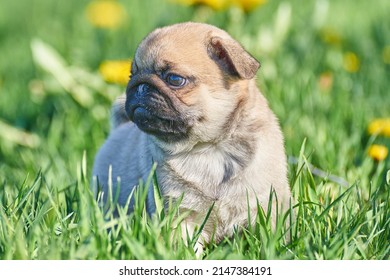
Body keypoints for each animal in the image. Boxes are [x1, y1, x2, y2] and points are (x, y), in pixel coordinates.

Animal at [93, 21, 290, 253]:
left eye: (174, 79)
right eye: (132, 75)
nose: (139, 86)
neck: (208, 147)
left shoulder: (268, 206)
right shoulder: (180, 215)